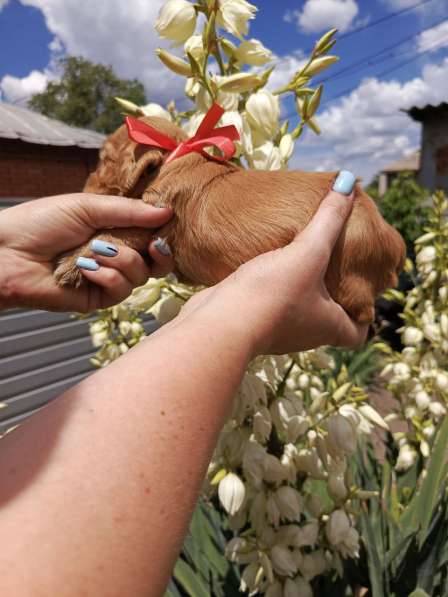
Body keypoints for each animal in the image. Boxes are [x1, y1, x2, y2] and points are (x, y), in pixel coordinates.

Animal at [53, 114, 406, 324]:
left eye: (103, 161)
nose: (82, 188)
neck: (174, 158)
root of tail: (393, 239)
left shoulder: (154, 215)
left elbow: (115, 232)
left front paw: (71, 263)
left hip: (350, 264)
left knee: (363, 310)